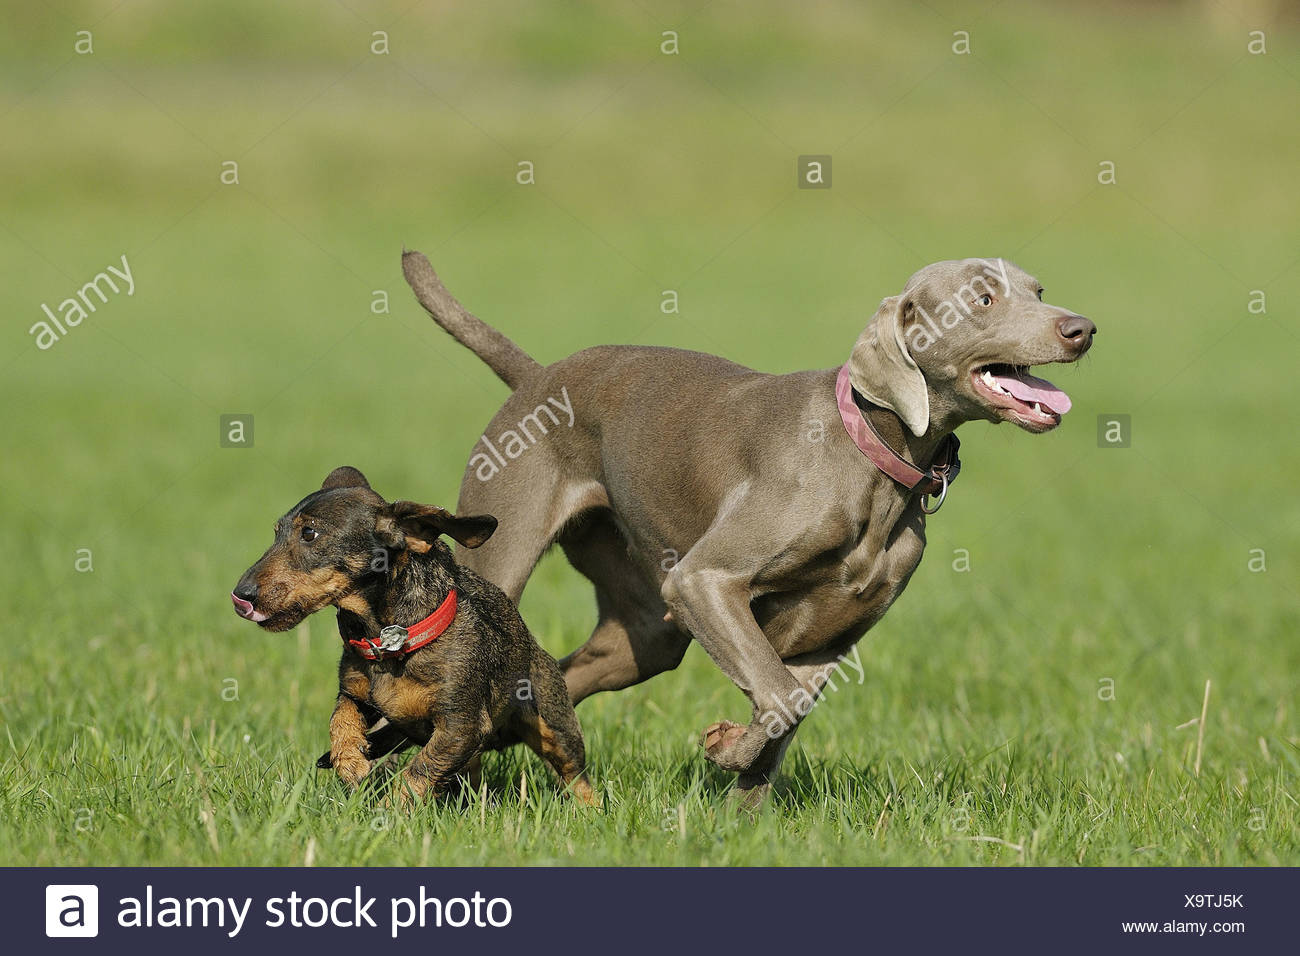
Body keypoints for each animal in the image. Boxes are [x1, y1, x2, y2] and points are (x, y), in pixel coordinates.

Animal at [231, 468, 595, 806]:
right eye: (277, 533)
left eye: (309, 532)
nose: (240, 596)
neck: (389, 643)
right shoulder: (354, 692)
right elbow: (340, 717)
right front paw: (349, 760)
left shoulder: (461, 726)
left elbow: (420, 770)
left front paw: (389, 810)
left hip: (553, 725)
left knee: (576, 774)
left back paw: (588, 810)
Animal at [397, 251, 1097, 806]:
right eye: (983, 298)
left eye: (1037, 289)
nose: (1082, 329)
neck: (872, 457)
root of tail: (538, 376)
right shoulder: (703, 580)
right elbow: (778, 694)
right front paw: (725, 748)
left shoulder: (831, 635)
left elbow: (789, 707)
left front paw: (741, 813)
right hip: (503, 553)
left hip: (644, 630)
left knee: (552, 684)